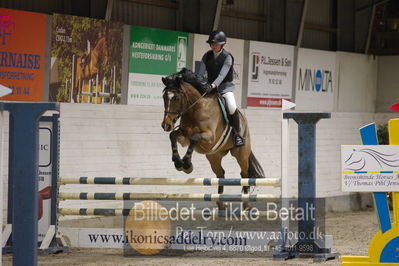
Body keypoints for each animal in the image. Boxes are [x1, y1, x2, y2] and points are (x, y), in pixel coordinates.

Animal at [159, 70, 266, 210]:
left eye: (176, 98)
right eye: (164, 97)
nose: (166, 125)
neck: (195, 109)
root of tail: (244, 121)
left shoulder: (209, 138)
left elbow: (194, 138)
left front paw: (187, 165)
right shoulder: (184, 138)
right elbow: (173, 136)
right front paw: (178, 162)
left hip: (241, 154)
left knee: (244, 174)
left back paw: (247, 204)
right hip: (214, 156)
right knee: (220, 174)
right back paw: (220, 203)